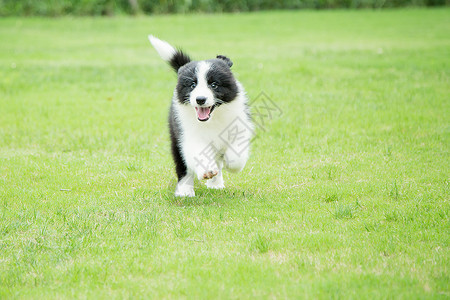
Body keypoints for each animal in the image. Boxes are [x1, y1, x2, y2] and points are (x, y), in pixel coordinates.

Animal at [149, 35, 251, 197]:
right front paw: (207, 170)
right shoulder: (189, 134)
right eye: (192, 85)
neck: (212, 120)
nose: (200, 99)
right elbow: (198, 153)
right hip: (176, 138)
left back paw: (216, 184)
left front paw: (231, 164)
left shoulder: (239, 125)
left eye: (214, 84)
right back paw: (185, 191)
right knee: (183, 166)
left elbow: (237, 155)